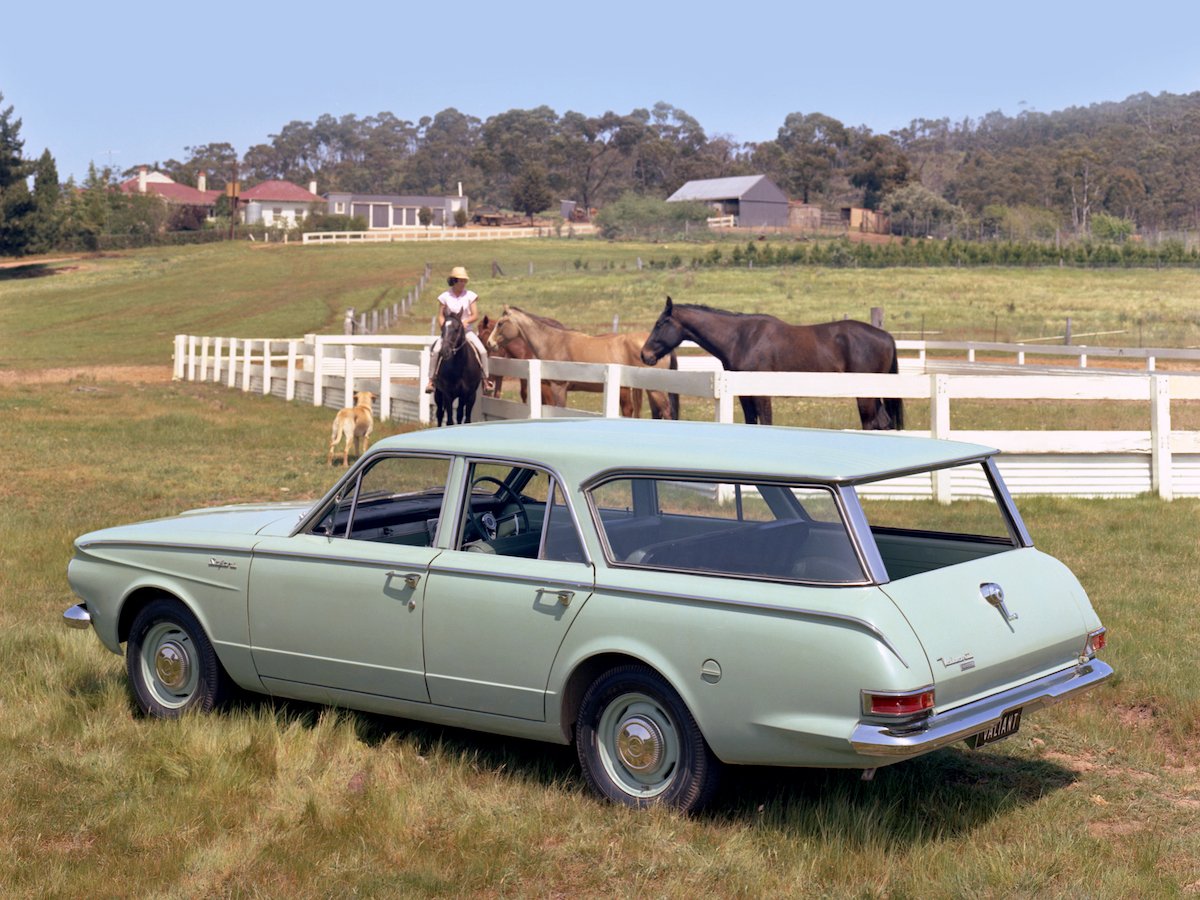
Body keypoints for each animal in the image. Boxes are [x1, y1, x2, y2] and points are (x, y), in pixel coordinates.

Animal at [484, 307, 676, 420]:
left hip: (655, 390)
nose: (489, 343)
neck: (554, 342)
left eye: (500, 324)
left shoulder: (558, 387)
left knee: (667, 411)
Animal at [638, 297, 902, 432]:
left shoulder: (761, 393)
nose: (644, 354)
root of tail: (886, 336)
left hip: (866, 396)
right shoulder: (744, 395)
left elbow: (765, 421)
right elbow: (751, 422)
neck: (741, 338)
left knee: (872, 424)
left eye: (660, 323)